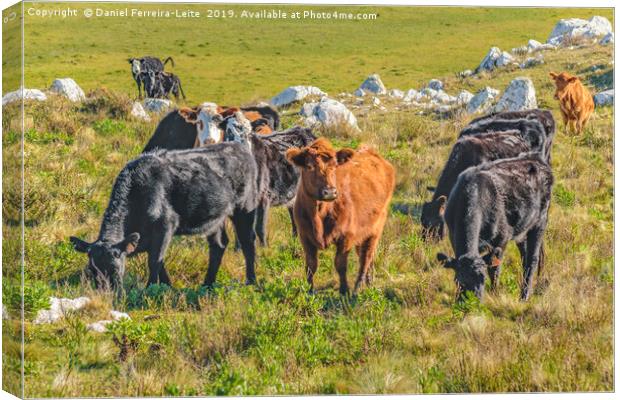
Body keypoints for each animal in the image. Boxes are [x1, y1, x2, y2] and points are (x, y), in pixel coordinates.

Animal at [69, 142, 262, 290]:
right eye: (91, 270)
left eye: (115, 269)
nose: (105, 292)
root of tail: (239, 147)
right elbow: (159, 262)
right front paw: (168, 286)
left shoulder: (165, 226)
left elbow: (155, 260)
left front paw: (150, 289)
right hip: (214, 218)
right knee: (219, 244)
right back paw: (207, 284)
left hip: (245, 207)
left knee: (248, 242)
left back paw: (251, 282)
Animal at [284, 139, 392, 296]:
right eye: (309, 166)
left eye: (335, 166)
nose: (329, 192)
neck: (319, 213)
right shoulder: (304, 236)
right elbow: (311, 265)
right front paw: (309, 291)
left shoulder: (346, 237)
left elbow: (340, 264)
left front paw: (344, 291)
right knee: (366, 256)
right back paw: (369, 283)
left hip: (376, 228)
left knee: (365, 258)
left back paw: (357, 290)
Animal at [436, 153, 552, 300]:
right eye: (458, 280)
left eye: (483, 279)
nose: (472, 302)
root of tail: (536, 158)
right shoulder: (453, 236)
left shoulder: (502, 238)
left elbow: (494, 269)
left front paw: (495, 294)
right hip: (522, 229)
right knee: (525, 257)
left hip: (540, 222)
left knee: (532, 259)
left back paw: (524, 296)